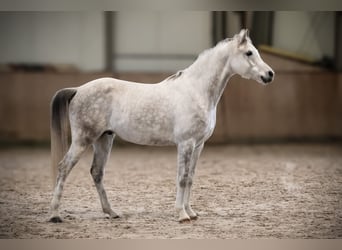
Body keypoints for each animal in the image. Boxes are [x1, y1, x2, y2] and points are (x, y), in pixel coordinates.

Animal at [48, 28, 276, 223]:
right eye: (249, 53)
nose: (270, 74)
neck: (196, 90)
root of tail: (78, 89)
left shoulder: (198, 145)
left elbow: (190, 178)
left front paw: (191, 212)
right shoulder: (185, 143)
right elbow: (182, 178)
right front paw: (181, 214)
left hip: (104, 139)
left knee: (97, 172)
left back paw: (111, 212)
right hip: (83, 140)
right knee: (63, 168)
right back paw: (54, 215)